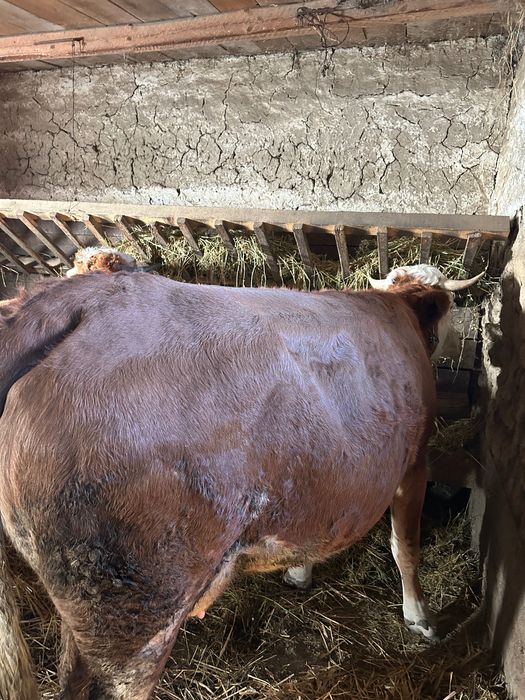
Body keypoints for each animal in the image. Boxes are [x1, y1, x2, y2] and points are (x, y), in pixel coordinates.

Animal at [0, 268, 479, 699]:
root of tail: (87, 298)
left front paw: (299, 572)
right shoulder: (415, 461)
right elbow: (406, 547)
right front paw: (419, 616)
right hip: (133, 609)